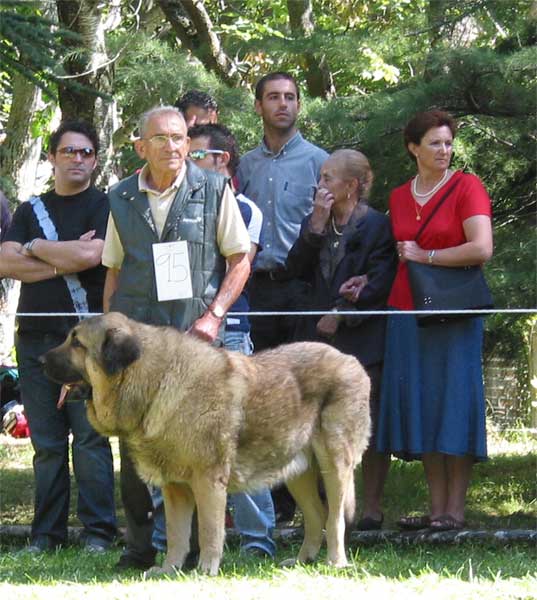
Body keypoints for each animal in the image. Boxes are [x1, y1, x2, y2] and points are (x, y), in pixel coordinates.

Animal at [44, 312, 370, 576]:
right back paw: (303, 562)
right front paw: (169, 570)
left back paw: (335, 563)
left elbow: (208, 532)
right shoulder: (175, 488)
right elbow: (176, 535)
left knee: (335, 519)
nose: (40, 360)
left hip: (334, 465)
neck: (154, 382)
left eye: (77, 343)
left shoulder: (208, 481)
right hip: (297, 471)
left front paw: (205, 569)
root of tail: (352, 361)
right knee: (316, 516)